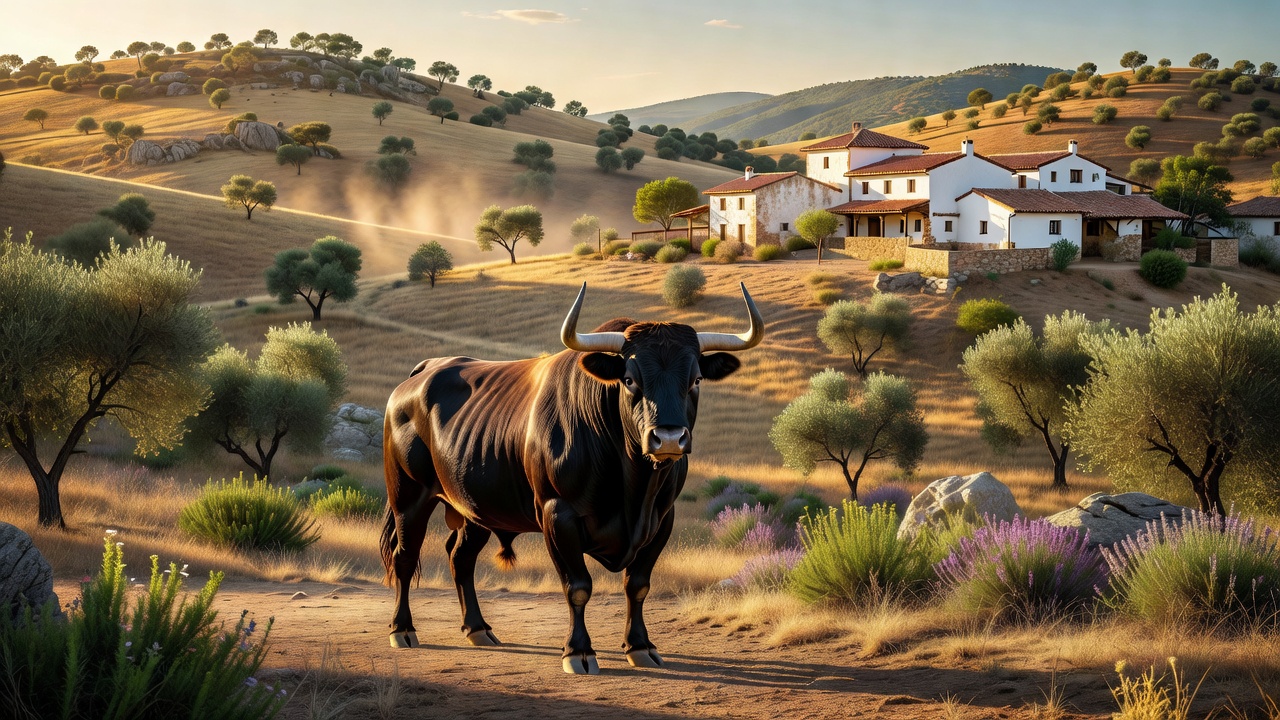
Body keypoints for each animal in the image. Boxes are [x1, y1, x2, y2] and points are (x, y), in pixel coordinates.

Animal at [380, 282, 763, 674]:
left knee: (461, 558)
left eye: (696, 379)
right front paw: (578, 651)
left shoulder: (662, 519)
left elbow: (638, 585)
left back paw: (478, 629)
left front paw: (640, 646)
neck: (632, 487)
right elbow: (578, 586)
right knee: (404, 556)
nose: (669, 438)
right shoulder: (557, 514)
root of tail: (425, 371)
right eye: (629, 380)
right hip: (408, 498)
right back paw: (403, 630)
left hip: (475, 508)